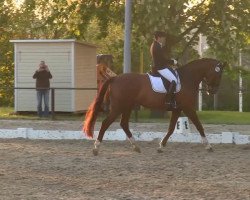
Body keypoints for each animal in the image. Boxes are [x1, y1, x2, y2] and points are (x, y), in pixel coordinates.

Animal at [82, 57, 225, 155]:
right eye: (219, 74)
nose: (213, 91)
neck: (187, 78)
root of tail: (115, 78)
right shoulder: (188, 108)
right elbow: (199, 126)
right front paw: (208, 146)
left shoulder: (177, 109)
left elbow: (171, 128)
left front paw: (161, 146)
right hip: (119, 107)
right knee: (106, 123)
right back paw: (96, 148)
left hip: (127, 107)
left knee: (124, 124)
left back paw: (136, 146)